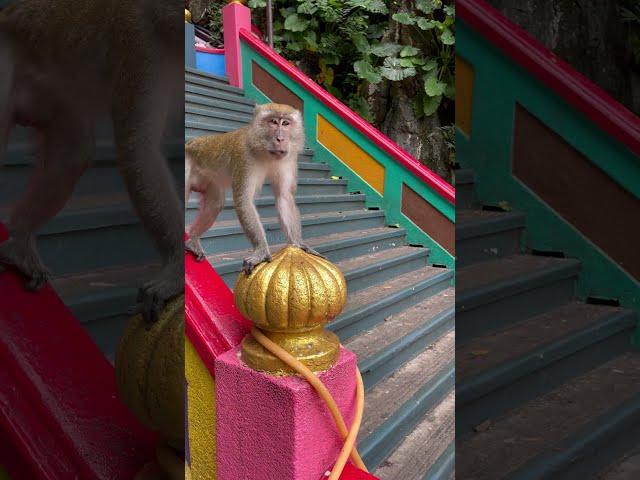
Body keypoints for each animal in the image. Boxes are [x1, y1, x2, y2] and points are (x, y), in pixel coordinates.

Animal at [185, 103, 324, 274]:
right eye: (273, 122)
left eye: (286, 123)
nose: (280, 138)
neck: (264, 151)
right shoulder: (245, 157)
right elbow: (244, 200)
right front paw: (261, 251)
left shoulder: (289, 159)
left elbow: (284, 197)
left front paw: (298, 243)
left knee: (216, 203)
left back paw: (193, 239)